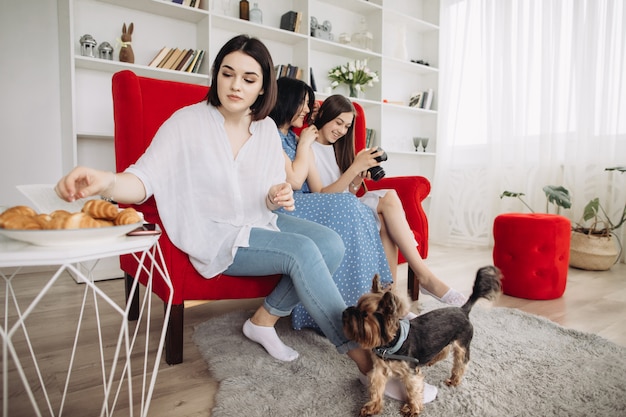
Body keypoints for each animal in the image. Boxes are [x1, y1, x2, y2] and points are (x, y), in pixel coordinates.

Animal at [344, 264, 500, 414]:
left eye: (364, 314)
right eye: (357, 305)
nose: (345, 312)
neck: (390, 345)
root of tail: (463, 310)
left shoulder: (411, 373)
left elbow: (412, 391)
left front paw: (411, 408)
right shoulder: (379, 370)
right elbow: (376, 388)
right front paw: (372, 407)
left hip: (462, 344)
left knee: (461, 363)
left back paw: (454, 380)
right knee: (445, 349)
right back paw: (433, 360)